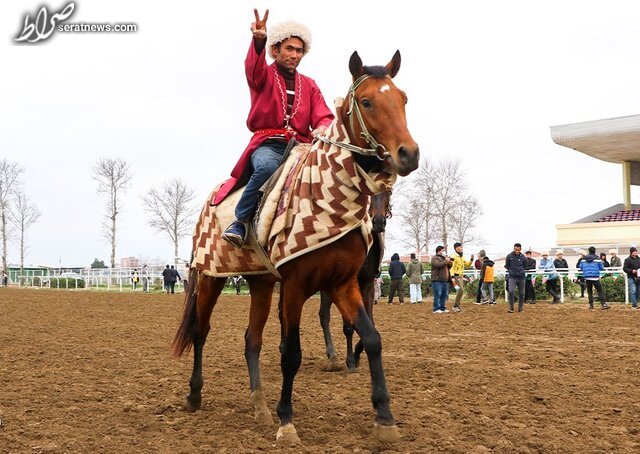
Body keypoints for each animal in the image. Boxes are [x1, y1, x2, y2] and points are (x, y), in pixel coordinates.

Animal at [320, 190, 390, 370]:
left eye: (389, 192)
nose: (378, 222)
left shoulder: (368, 283)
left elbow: (371, 322)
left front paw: (358, 354)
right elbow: (348, 326)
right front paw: (351, 360)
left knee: (323, 315)